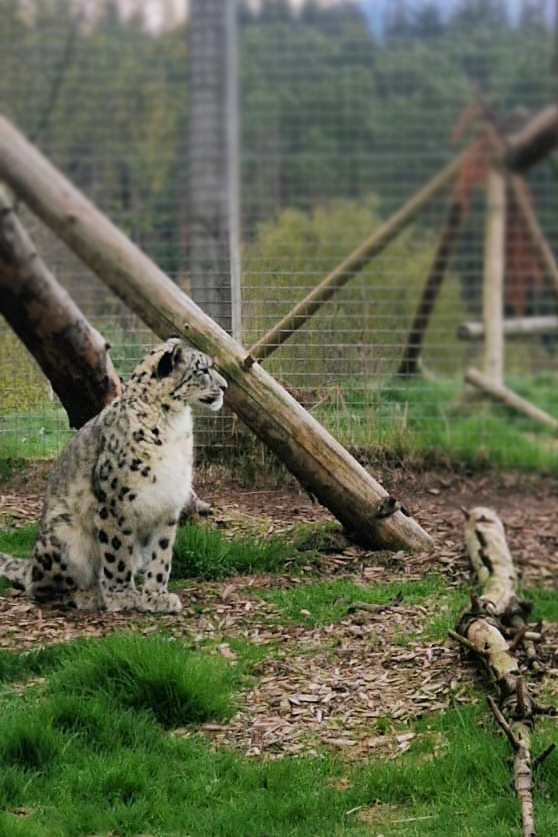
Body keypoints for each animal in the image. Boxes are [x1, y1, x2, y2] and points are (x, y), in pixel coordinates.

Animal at [0, 338, 227, 613]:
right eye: (202, 370)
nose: (225, 387)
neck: (173, 423)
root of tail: (31, 562)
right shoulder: (114, 504)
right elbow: (117, 553)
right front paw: (122, 595)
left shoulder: (168, 503)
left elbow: (161, 554)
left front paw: (157, 596)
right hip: (65, 536)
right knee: (40, 588)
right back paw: (88, 594)